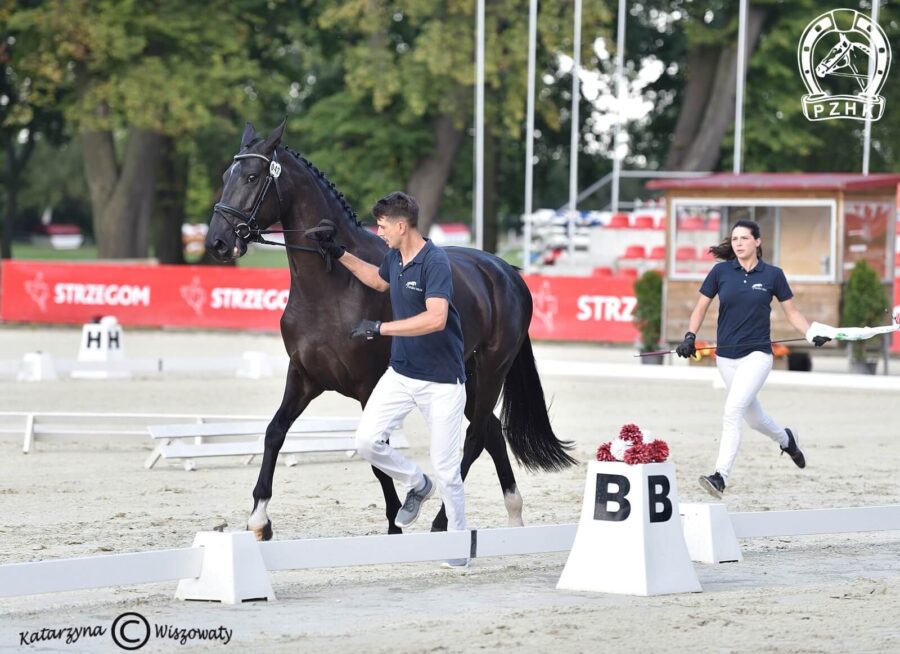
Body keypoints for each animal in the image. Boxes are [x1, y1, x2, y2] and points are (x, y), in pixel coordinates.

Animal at [207, 120, 572, 540]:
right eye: (226, 176)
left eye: (252, 176)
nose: (217, 242)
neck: (332, 287)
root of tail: (506, 272)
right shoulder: (303, 376)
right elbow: (274, 432)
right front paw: (259, 519)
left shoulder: (368, 386)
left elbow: (377, 456)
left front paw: (396, 522)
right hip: (465, 376)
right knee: (492, 431)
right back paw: (513, 516)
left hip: (493, 370)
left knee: (477, 436)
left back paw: (443, 521)